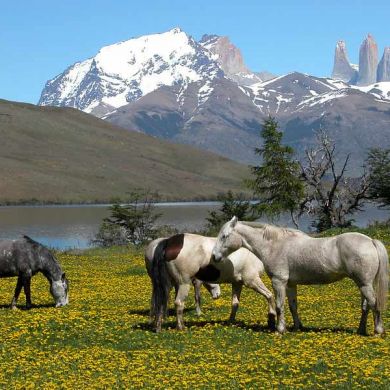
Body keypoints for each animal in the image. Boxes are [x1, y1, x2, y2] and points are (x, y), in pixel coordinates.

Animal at [148, 233, 276, 334]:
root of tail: (168, 242)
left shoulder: (237, 283)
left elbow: (235, 303)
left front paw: (231, 322)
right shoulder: (252, 280)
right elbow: (270, 296)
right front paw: (271, 319)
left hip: (166, 285)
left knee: (161, 303)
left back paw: (158, 328)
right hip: (183, 283)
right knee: (179, 303)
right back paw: (181, 327)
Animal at [212, 216, 388, 336]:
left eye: (224, 236)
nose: (214, 256)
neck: (274, 245)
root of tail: (370, 241)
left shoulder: (279, 282)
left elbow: (279, 305)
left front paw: (280, 330)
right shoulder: (290, 284)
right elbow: (292, 306)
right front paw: (297, 327)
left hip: (364, 284)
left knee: (374, 303)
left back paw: (378, 331)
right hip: (363, 284)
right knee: (366, 306)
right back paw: (361, 330)